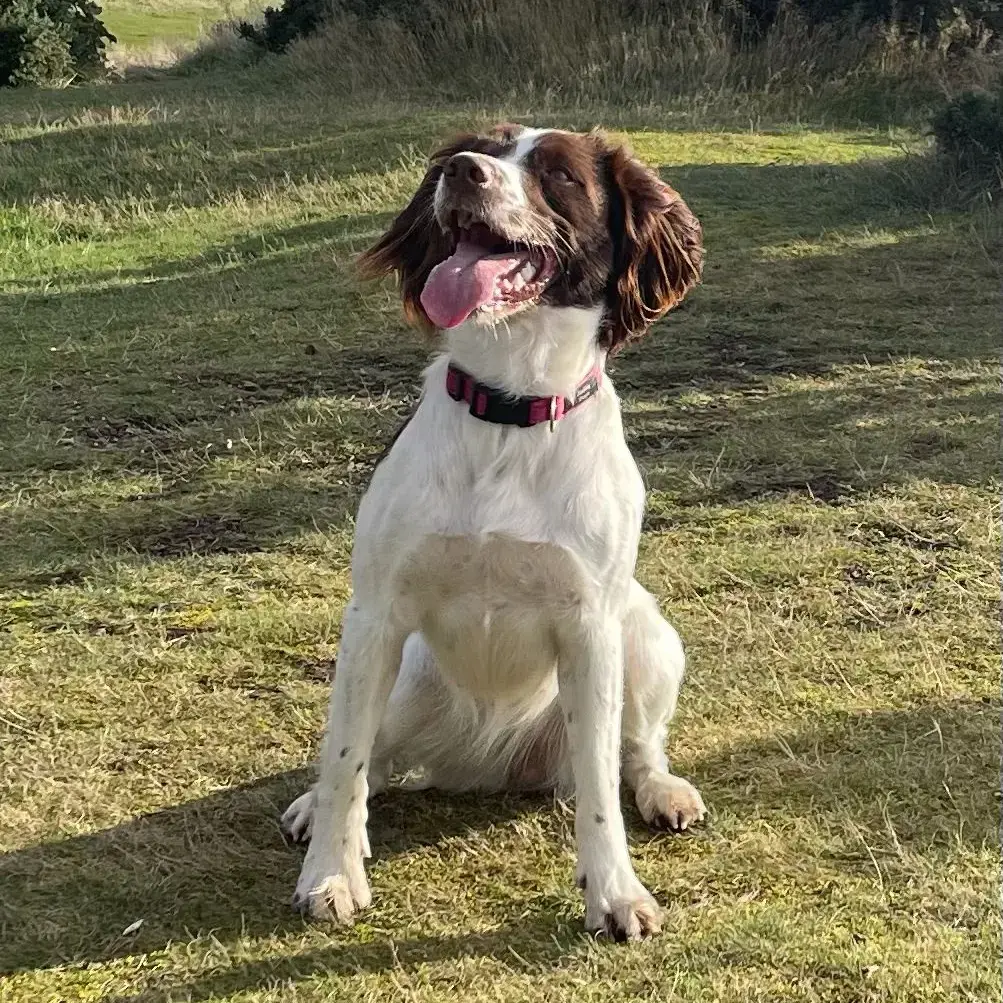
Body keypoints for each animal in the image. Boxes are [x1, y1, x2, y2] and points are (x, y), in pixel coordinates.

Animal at [282, 123, 706, 938]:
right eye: (481, 146)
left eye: (558, 174)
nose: (460, 171)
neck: (511, 407)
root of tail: (491, 765)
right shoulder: (374, 616)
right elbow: (346, 760)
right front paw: (331, 872)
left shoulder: (592, 626)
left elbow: (600, 789)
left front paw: (614, 893)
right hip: (406, 676)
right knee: (371, 754)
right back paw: (315, 806)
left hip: (646, 631)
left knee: (634, 749)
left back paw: (662, 789)